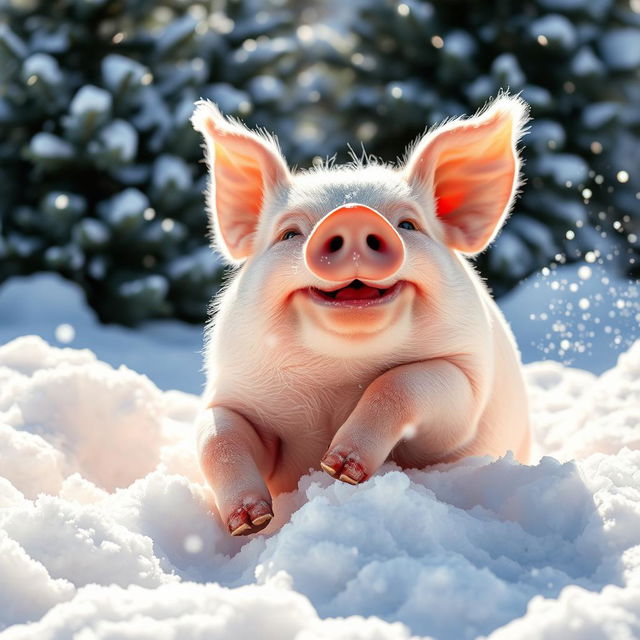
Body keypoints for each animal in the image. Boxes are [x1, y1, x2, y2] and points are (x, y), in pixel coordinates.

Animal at [190, 95, 528, 536]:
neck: (337, 374)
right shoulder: (231, 395)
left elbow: (399, 383)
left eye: (408, 224)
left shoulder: (466, 385)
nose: (352, 213)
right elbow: (216, 438)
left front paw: (338, 471)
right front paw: (251, 522)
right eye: (289, 234)